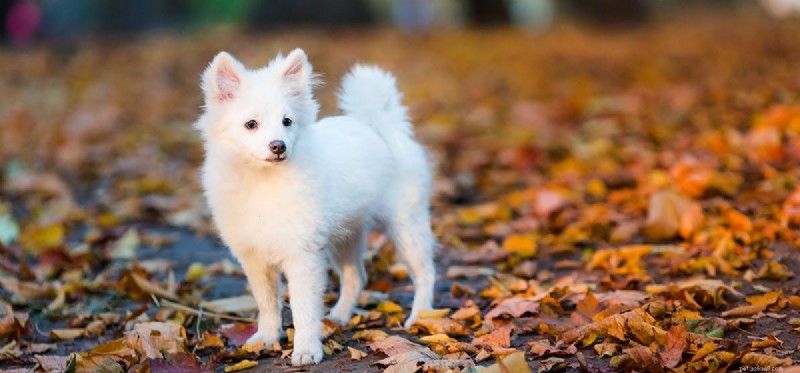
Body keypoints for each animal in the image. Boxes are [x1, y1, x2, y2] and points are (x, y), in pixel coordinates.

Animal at [196, 48, 438, 364]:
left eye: (287, 121)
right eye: (251, 124)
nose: (278, 146)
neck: (263, 181)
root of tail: (377, 124)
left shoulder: (302, 257)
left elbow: (304, 310)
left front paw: (306, 349)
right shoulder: (255, 258)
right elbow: (267, 303)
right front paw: (266, 337)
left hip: (405, 225)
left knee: (425, 272)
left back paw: (421, 315)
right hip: (346, 236)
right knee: (356, 277)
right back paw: (339, 317)